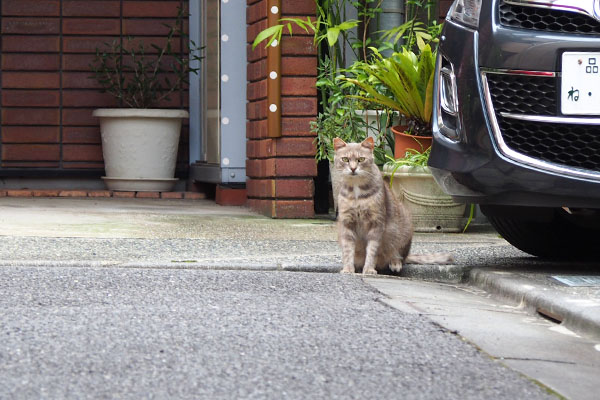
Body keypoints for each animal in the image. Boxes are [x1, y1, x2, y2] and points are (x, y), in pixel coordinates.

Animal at [332, 136, 450, 274]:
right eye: (345, 159)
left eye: (361, 159)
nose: (353, 168)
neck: (356, 191)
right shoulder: (347, 223)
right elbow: (348, 250)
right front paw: (348, 269)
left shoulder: (376, 223)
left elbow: (372, 250)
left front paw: (369, 270)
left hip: (404, 230)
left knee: (399, 256)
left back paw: (395, 263)